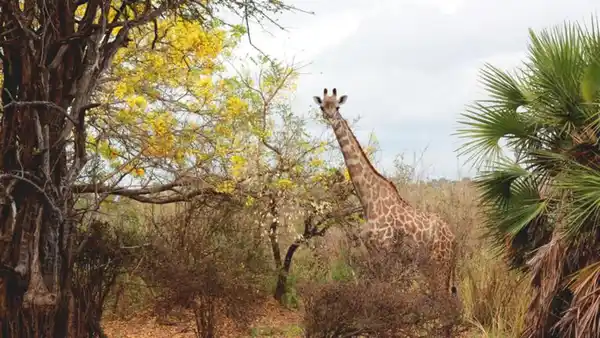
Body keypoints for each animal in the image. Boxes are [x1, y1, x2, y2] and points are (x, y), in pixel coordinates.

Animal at [312, 88, 458, 298]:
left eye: (337, 106)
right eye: (323, 106)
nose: (330, 117)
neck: (368, 200)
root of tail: (454, 240)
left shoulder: (386, 251)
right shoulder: (372, 251)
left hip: (439, 262)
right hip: (437, 266)